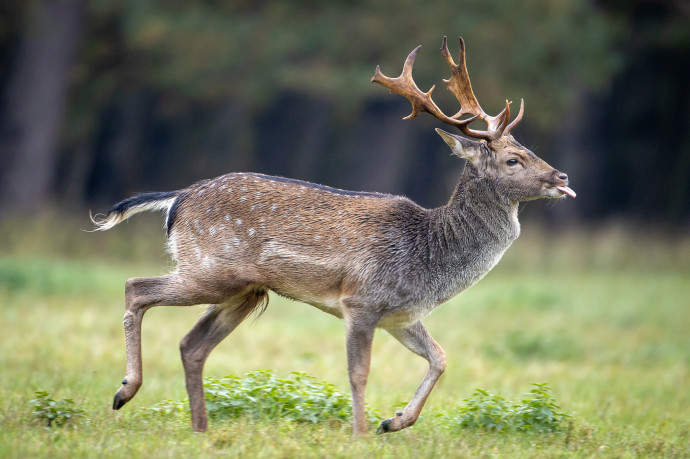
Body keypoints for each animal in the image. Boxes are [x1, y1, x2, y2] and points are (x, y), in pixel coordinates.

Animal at [91, 36, 576, 438]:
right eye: (513, 159)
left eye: (528, 149)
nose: (562, 177)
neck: (429, 255)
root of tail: (178, 198)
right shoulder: (361, 300)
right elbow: (359, 373)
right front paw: (362, 434)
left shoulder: (401, 313)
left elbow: (440, 357)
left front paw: (394, 421)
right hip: (209, 268)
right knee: (136, 287)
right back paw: (125, 391)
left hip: (244, 290)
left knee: (191, 345)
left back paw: (200, 428)